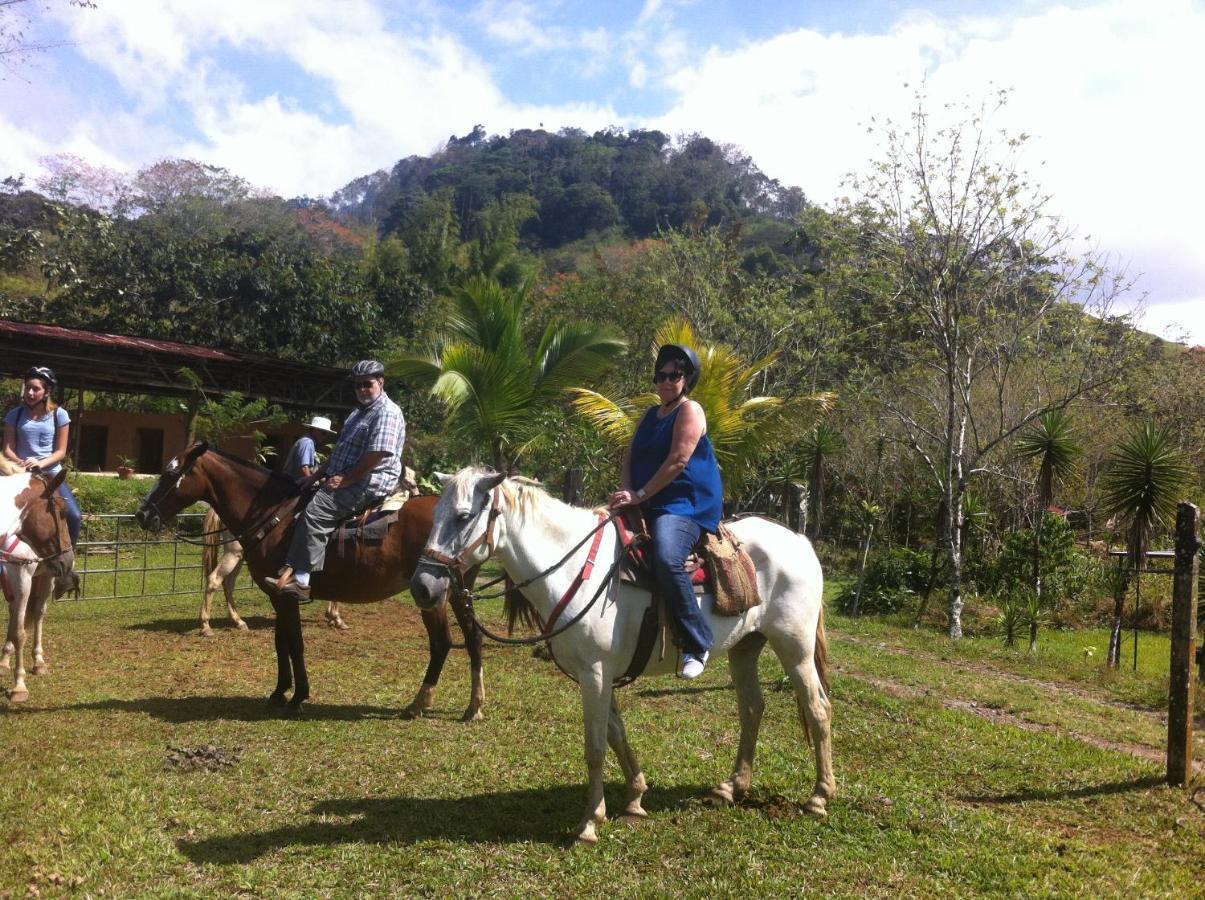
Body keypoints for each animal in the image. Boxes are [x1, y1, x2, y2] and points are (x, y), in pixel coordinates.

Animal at [0, 467, 76, 708]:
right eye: (61, 512)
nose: (69, 559)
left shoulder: (23, 578)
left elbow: (20, 630)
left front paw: (19, 685)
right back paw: (5, 661)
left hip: (44, 578)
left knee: (36, 613)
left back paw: (38, 661)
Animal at [135, 443, 484, 718]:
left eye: (170, 474)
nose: (142, 515)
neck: (274, 516)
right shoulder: (276, 594)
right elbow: (281, 642)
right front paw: (279, 692)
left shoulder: (286, 596)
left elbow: (296, 643)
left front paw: (298, 696)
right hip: (458, 591)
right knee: (472, 638)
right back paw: (473, 706)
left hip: (433, 594)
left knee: (442, 642)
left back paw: (418, 704)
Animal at [409, 467, 833, 848]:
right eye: (434, 514)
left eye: (463, 516)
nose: (422, 587)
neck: (573, 569)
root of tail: (799, 540)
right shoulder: (600, 675)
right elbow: (616, 734)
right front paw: (634, 797)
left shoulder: (595, 673)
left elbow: (595, 747)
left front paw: (587, 825)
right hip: (747, 646)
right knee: (752, 708)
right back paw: (731, 787)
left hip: (794, 646)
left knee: (817, 708)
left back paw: (818, 796)